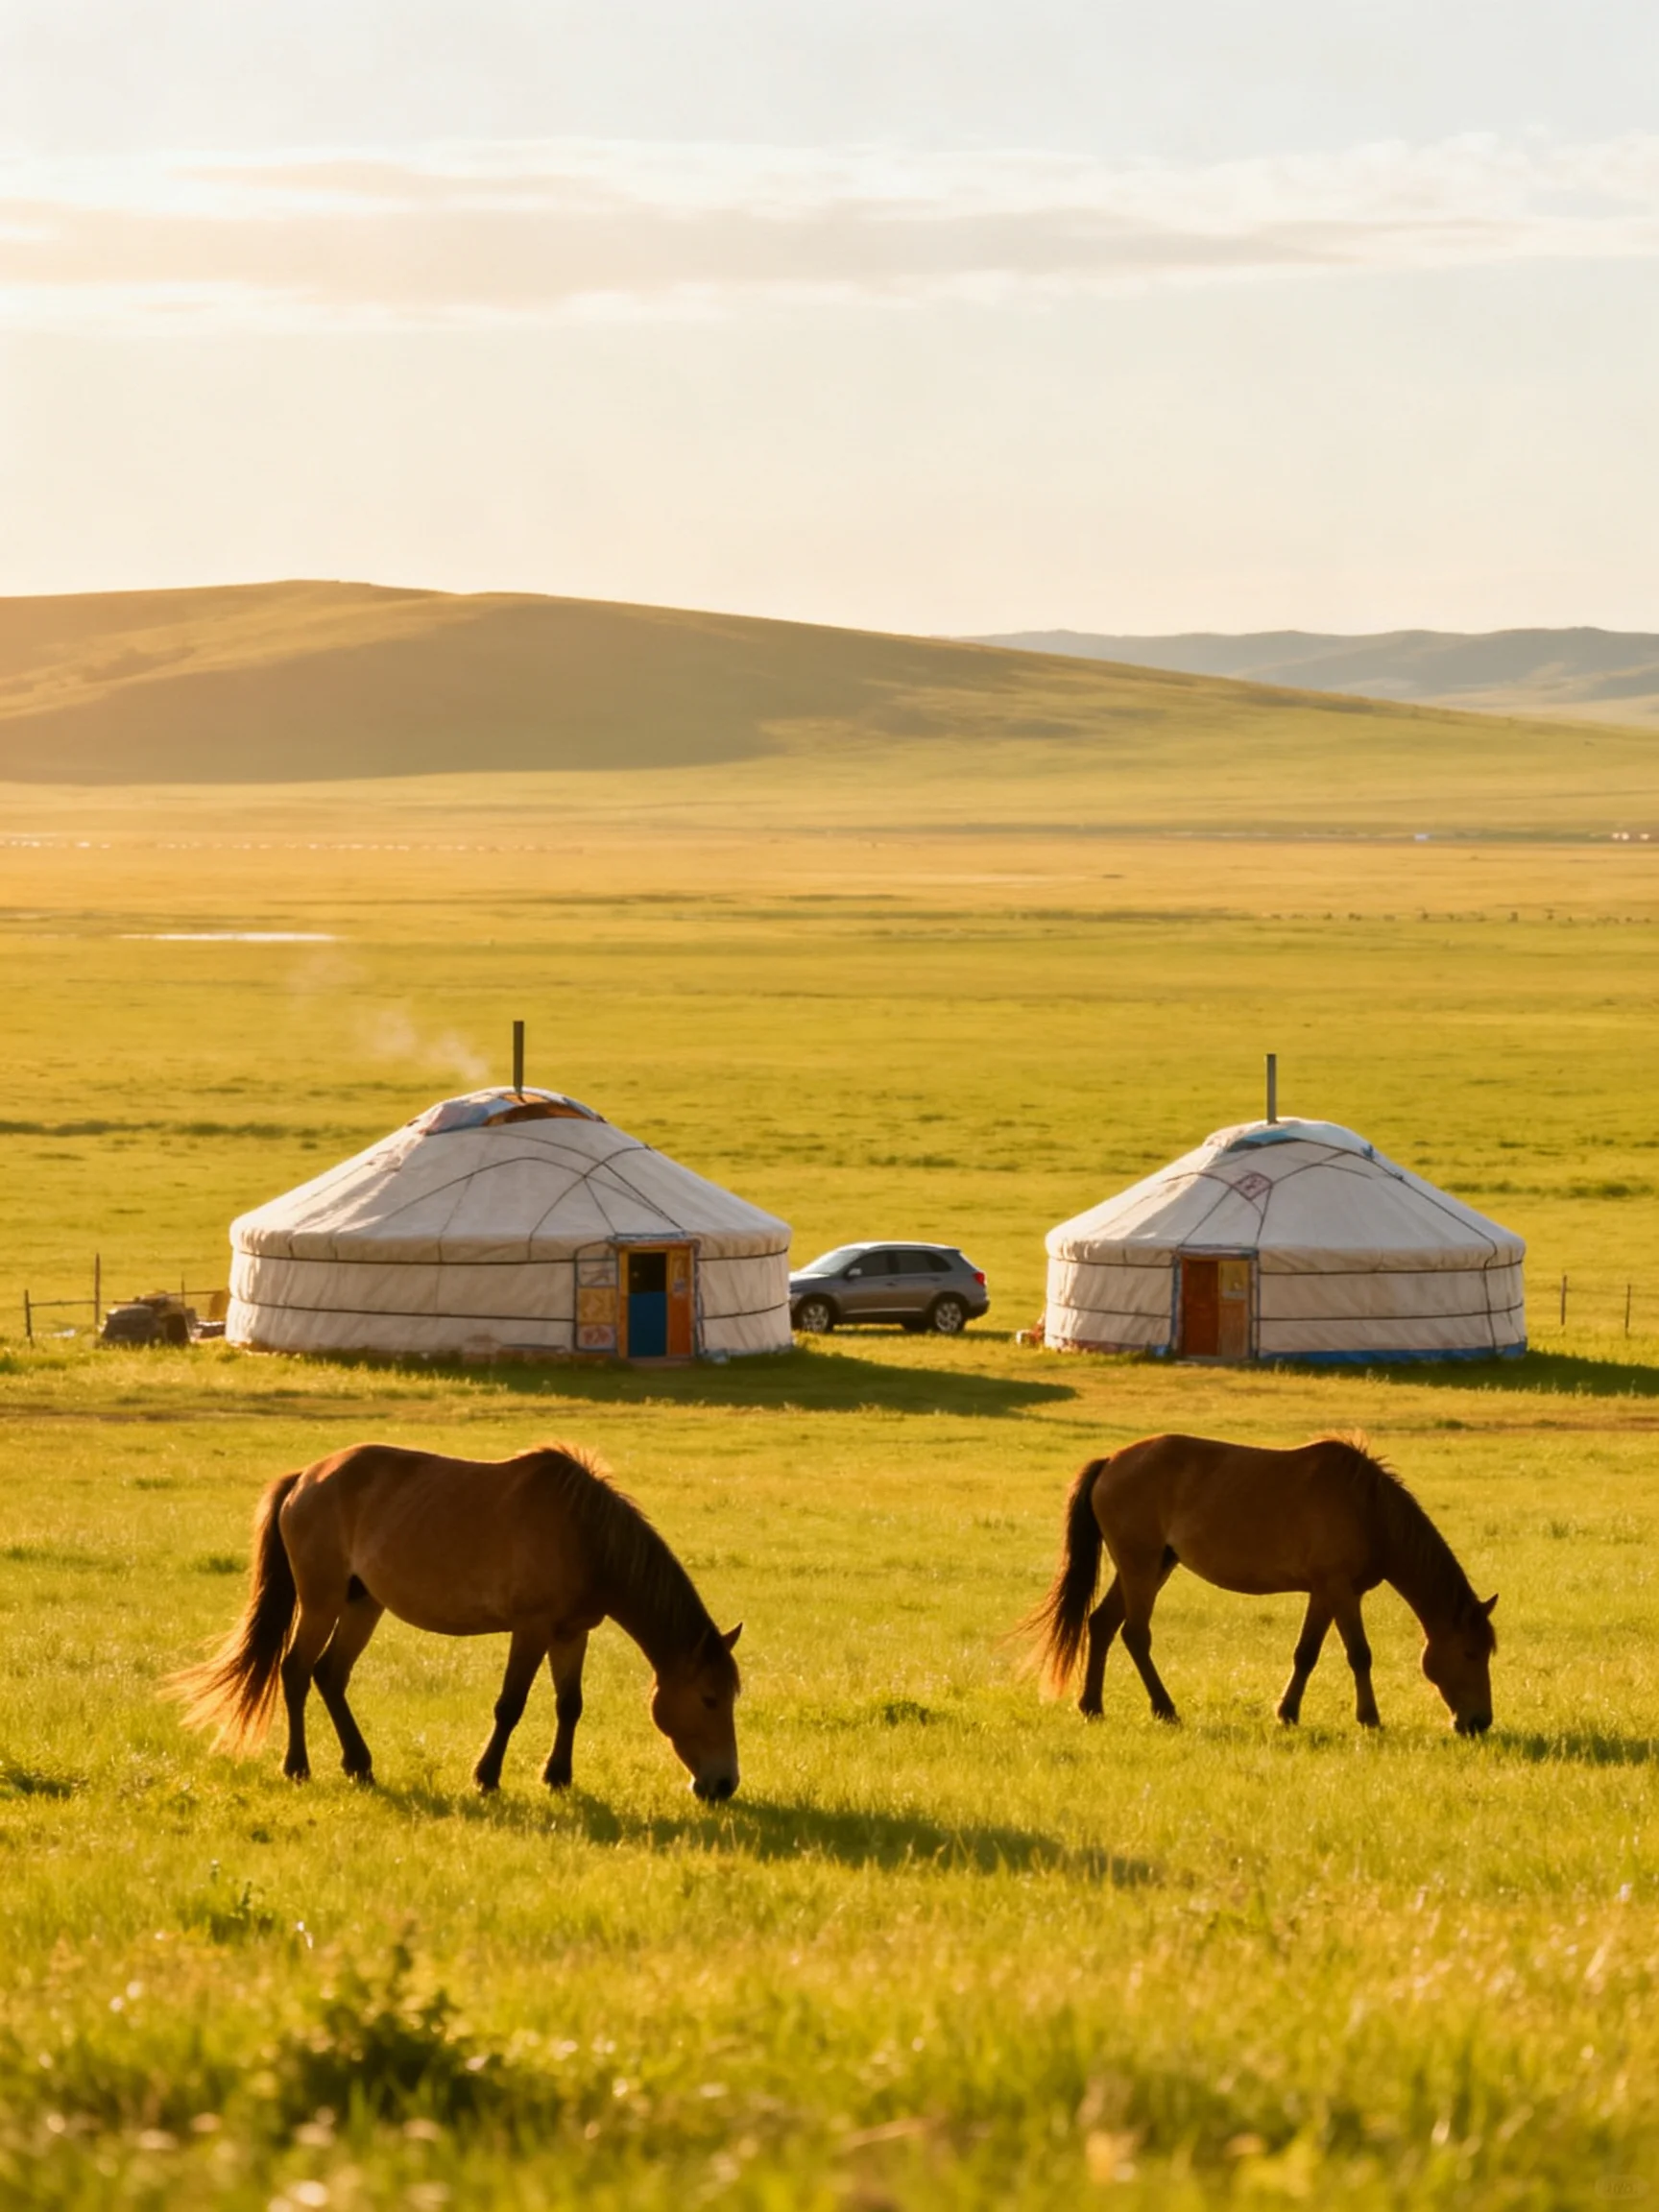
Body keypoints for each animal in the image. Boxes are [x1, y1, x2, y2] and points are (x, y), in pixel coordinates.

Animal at [171, 1441, 742, 1798]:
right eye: (709, 1699)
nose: (723, 1785)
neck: (585, 1534)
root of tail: (303, 1480)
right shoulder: (531, 1629)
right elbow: (510, 1706)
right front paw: (486, 1777)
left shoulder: (572, 1633)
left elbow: (570, 1706)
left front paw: (558, 1777)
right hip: (321, 1600)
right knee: (295, 1671)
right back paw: (298, 1766)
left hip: (362, 1603)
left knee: (329, 1674)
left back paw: (360, 1764)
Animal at [1022, 1433, 1496, 1734]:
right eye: (1470, 1653)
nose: (1479, 1723)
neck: (1368, 1509)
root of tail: (1110, 1462)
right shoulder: (1340, 1590)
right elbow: (1359, 1655)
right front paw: (1370, 1718)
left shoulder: (1325, 1592)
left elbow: (1306, 1654)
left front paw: (1287, 1713)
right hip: (1140, 1567)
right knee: (1135, 1634)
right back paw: (1165, 1709)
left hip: (1149, 1567)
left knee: (1101, 1625)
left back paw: (1092, 1706)